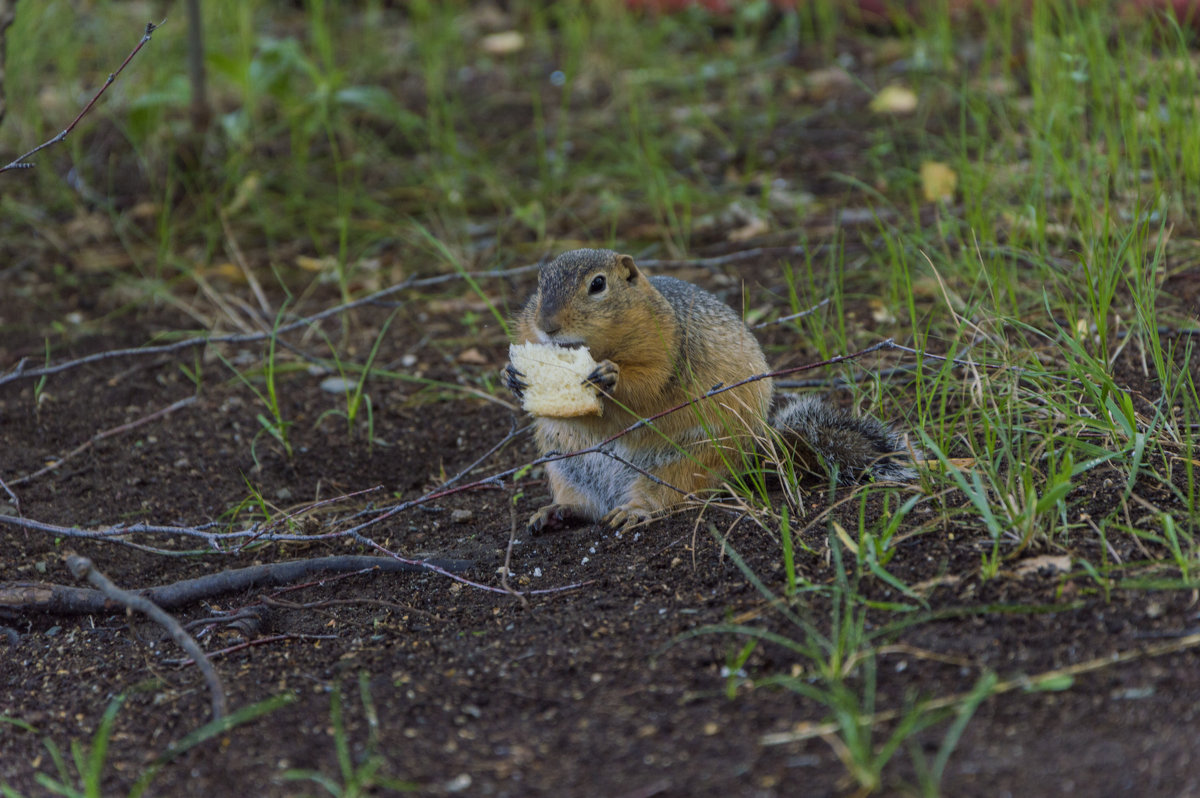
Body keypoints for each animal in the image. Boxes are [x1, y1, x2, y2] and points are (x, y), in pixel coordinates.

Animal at [501, 249, 912, 532]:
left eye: (598, 284)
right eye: (539, 285)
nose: (547, 325)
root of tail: (754, 457)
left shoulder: (666, 344)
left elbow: (649, 384)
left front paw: (610, 376)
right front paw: (512, 375)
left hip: (682, 465)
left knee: (661, 498)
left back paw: (633, 511)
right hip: (562, 465)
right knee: (587, 506)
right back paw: (555, 512)